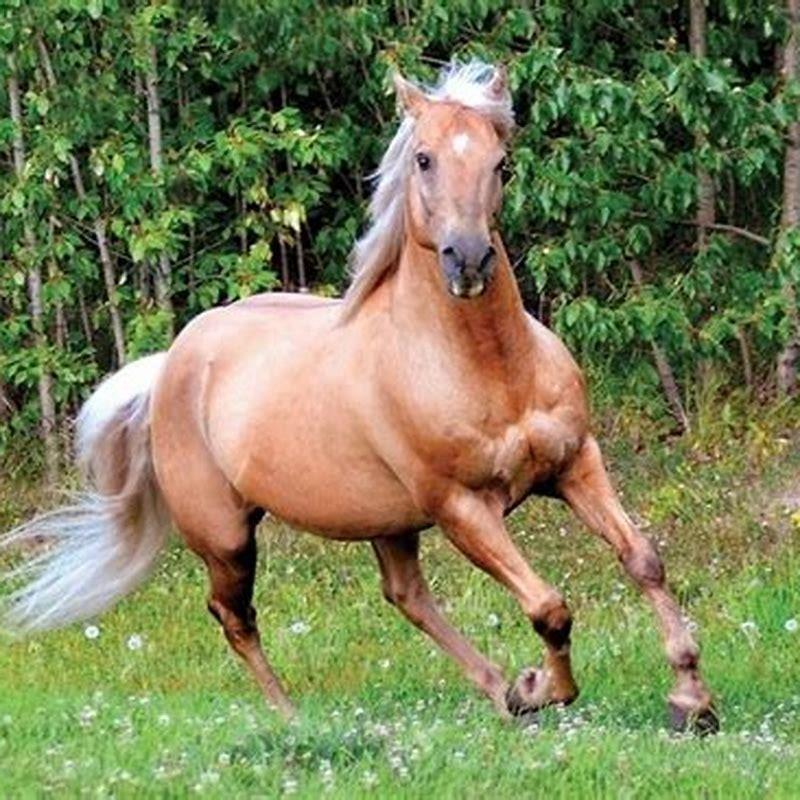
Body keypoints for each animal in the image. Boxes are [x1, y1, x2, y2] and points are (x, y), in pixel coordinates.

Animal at [0, 62, 716, 732]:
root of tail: (173, 362)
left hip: (387, 521)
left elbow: (642, 560)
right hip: (226, 536)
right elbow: (549, 605)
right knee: (235, 615)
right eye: (423, 157)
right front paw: (542, 687)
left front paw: (691, 700)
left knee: (405, 596)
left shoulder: (575, 464)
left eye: (501, 162)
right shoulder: (463, 507)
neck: (490, 368)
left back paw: (496, 692)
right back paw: (293, 716)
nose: (468, 260)